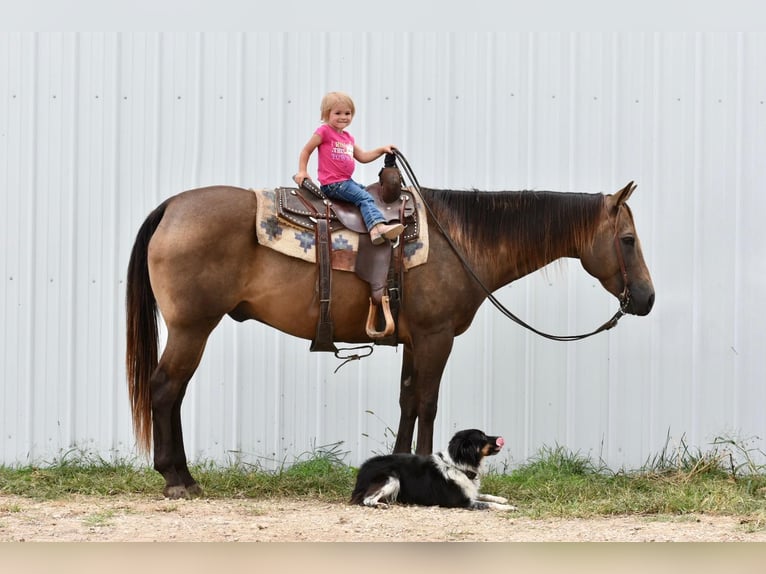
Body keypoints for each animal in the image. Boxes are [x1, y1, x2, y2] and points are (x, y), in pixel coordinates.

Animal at [124, 170, 656, 500]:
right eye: (628, 240)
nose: (647, 299)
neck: (458, 242)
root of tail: (172, 207)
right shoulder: (437, 337)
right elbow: (428, 403)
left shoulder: (414, 341)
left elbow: (407, 401)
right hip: (192, 327)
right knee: (166, 389)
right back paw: (177, 478)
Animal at [352, 428, 516, 512]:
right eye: (482, 437)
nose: (500, 437)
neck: (458, 466)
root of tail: (362, 470)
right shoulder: (461, 501)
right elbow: (487, 504)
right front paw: (508, 507)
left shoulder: (469, 492)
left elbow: (485, 495)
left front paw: (501, 499)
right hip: (392, 477)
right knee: (366, 499)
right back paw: (380, 505)